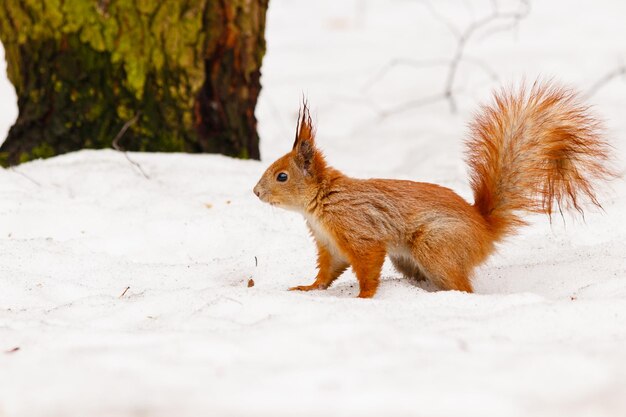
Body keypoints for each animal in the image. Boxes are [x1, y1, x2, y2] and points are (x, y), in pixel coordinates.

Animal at [251, 80, 612, 296]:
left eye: (281, 176)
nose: (255, 192)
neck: (321, 203)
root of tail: (484, 229)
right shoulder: (329, 243)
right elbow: (329, 270)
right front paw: (308, 288)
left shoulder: (358, 231)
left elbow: (367, 265)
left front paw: (364, 297)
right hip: (410, 258)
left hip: (435, 245)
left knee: (463, 285)